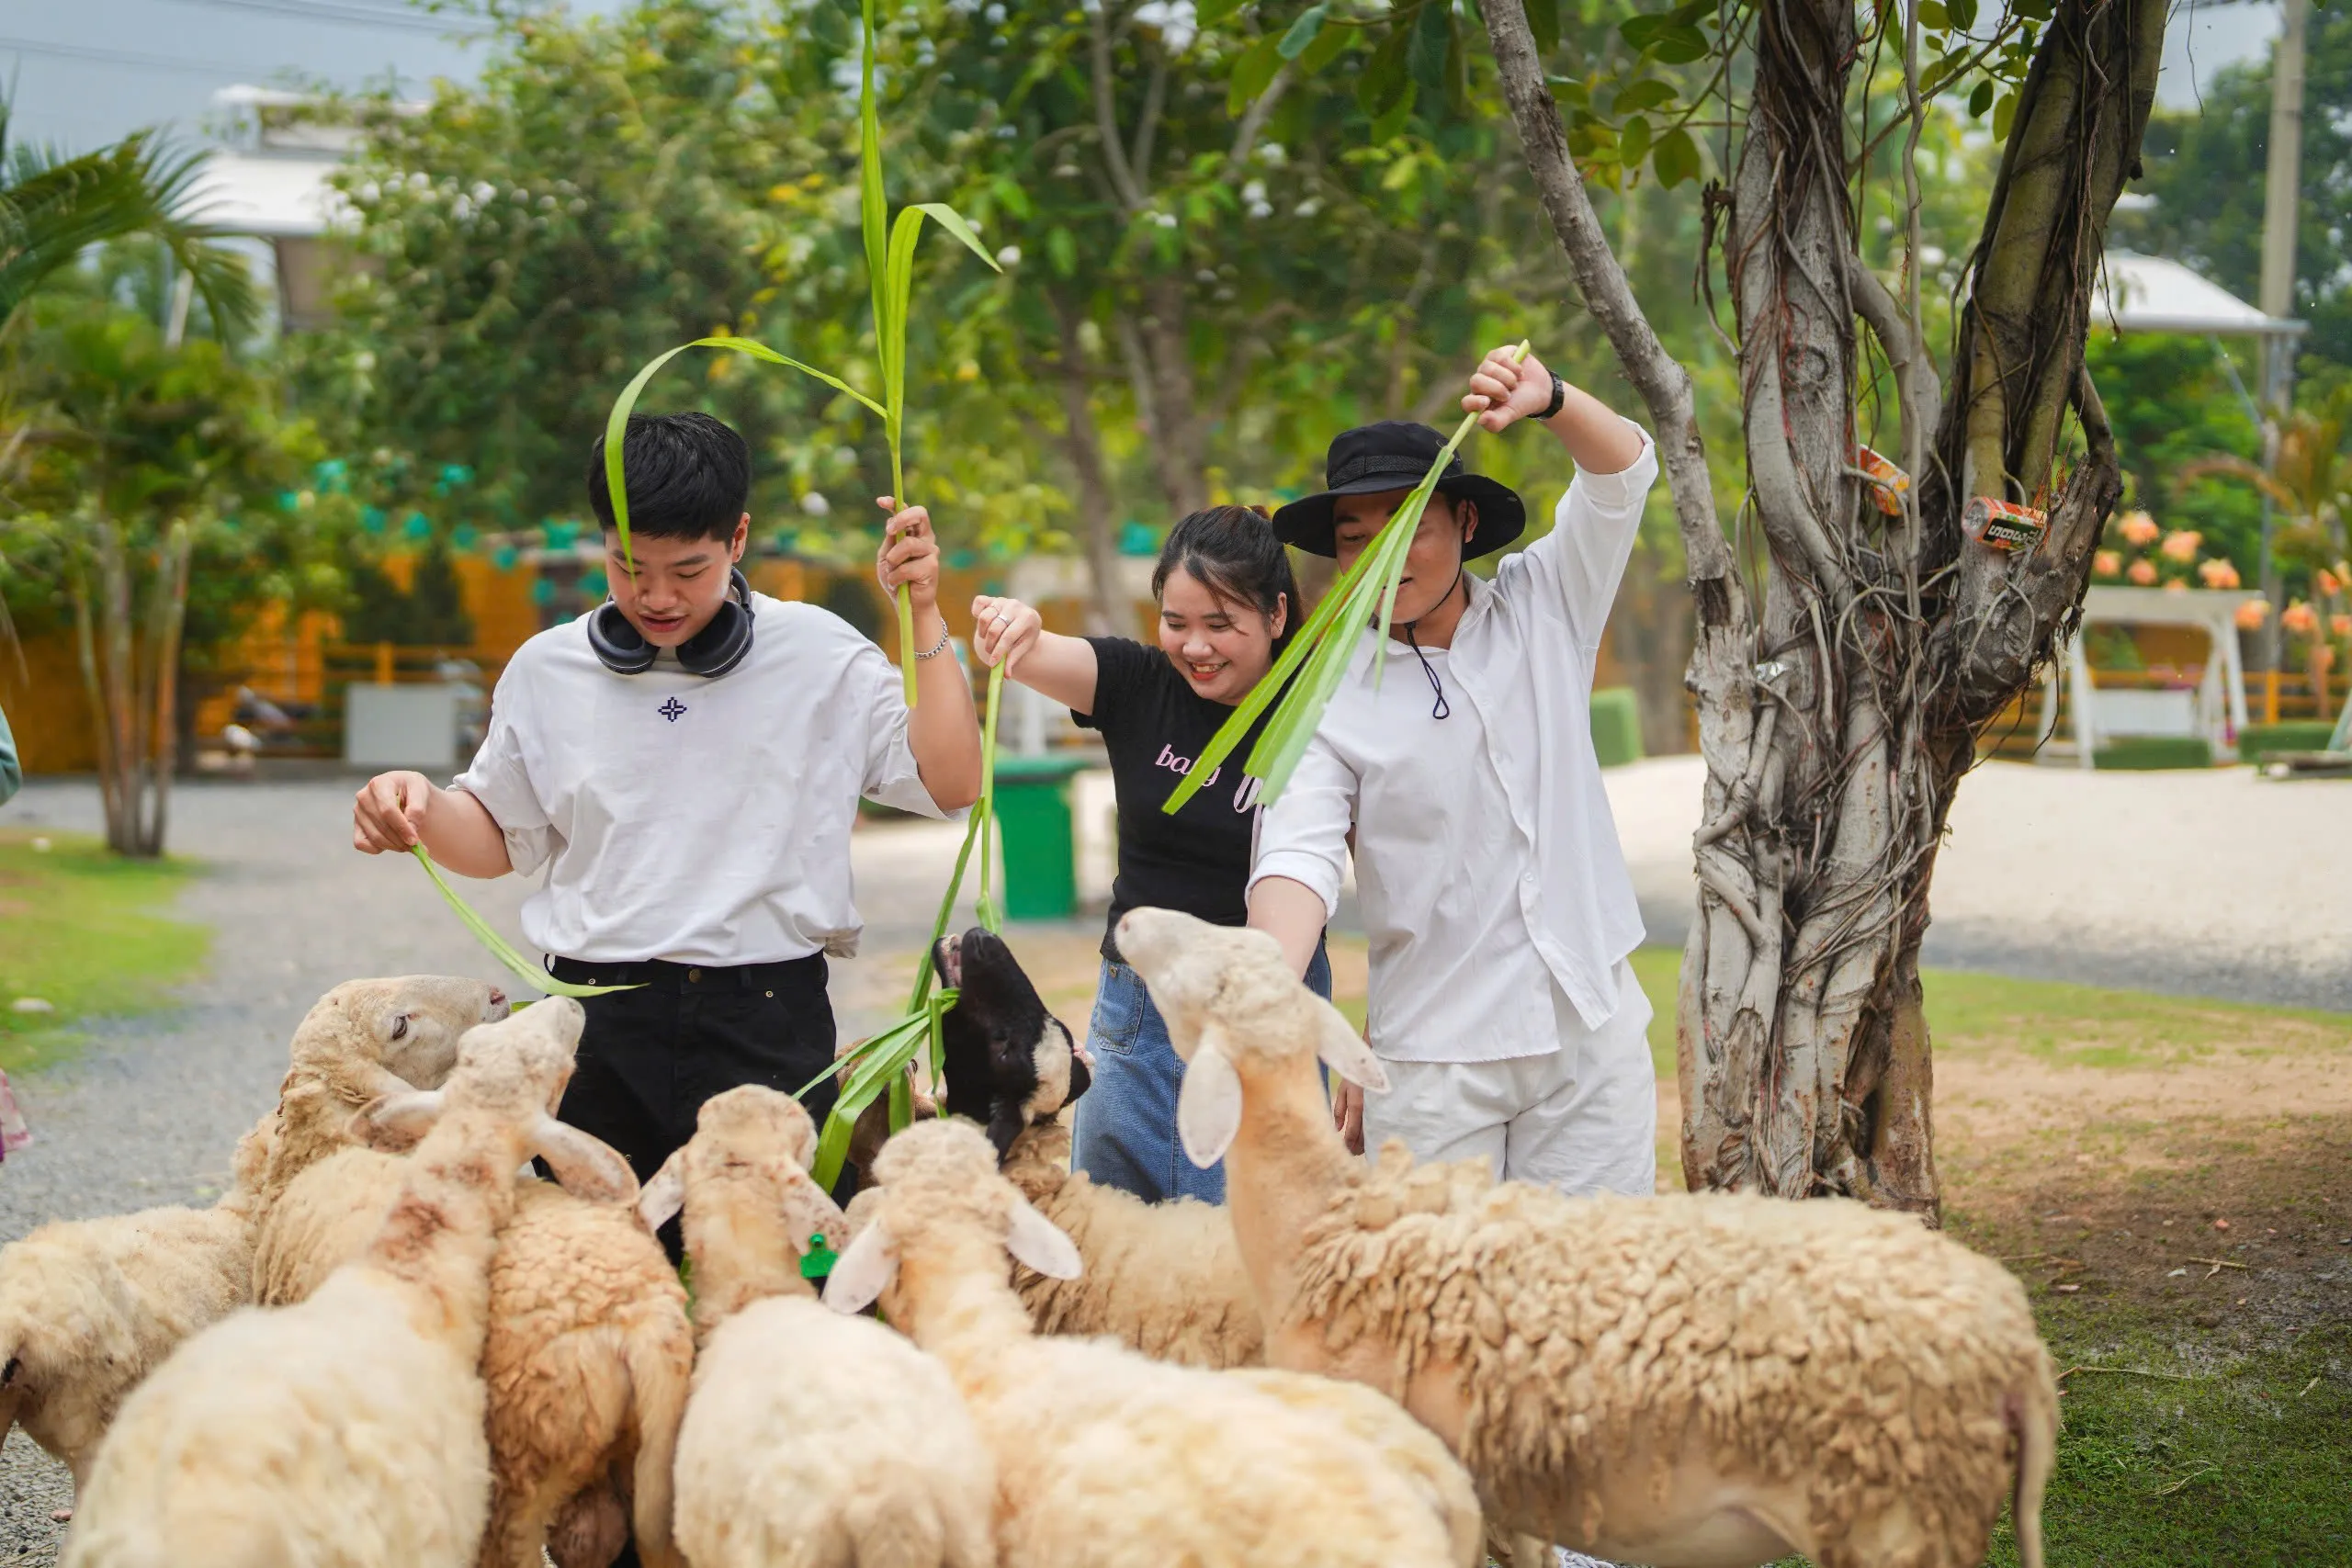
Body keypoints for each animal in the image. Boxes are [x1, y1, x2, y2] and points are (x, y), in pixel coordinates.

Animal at [1110, 907, 2051, 1568]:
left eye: (1196, 979)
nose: (1127, 919)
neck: (1323, 1223)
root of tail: (2018, 1349)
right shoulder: (1499, 1492)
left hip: (1897, 1515)